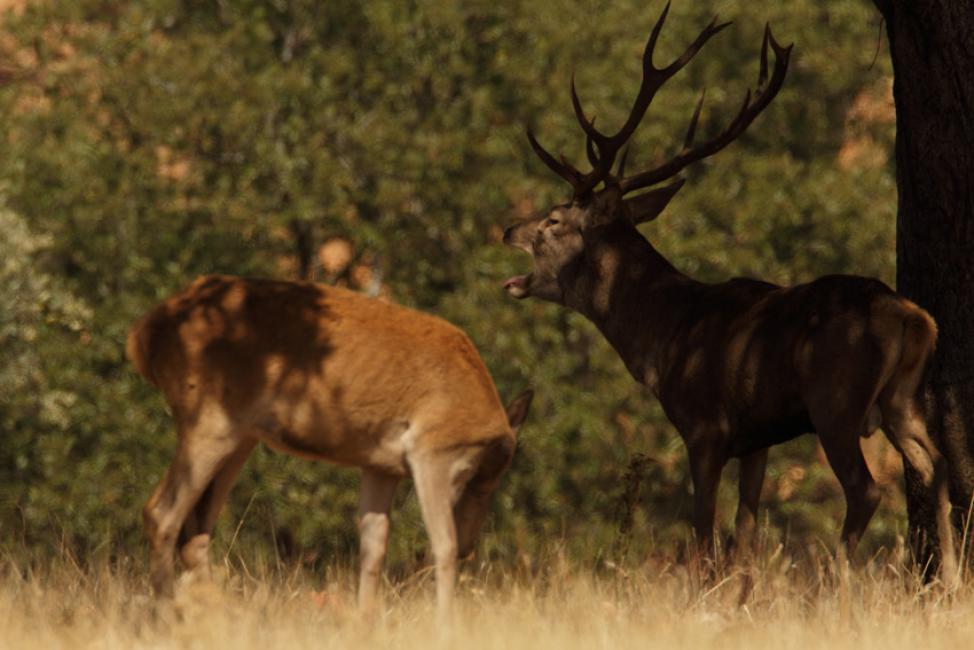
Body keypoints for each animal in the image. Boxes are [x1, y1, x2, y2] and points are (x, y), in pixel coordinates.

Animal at [129, 272, 532, 612]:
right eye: (476, 478)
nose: (470, 547)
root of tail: (143, 335)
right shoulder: (431, 451)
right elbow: (441, 544)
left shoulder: (381, 465)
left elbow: (373, 547)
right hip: (209, 421)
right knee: (161, 512)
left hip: (239, 435)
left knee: (195, 530)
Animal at [504, 3, 960, 584]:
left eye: (554, 219)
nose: (507, 229)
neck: (667, 335)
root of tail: (911, 317)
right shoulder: (756, 440)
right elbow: (745, 533)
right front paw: (740, 594)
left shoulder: (705, 428)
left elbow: (705, 534)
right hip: (900, 396)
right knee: (937, 467)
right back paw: (951, 582)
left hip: (836, 398)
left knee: (866, 490)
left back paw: (839, 582)